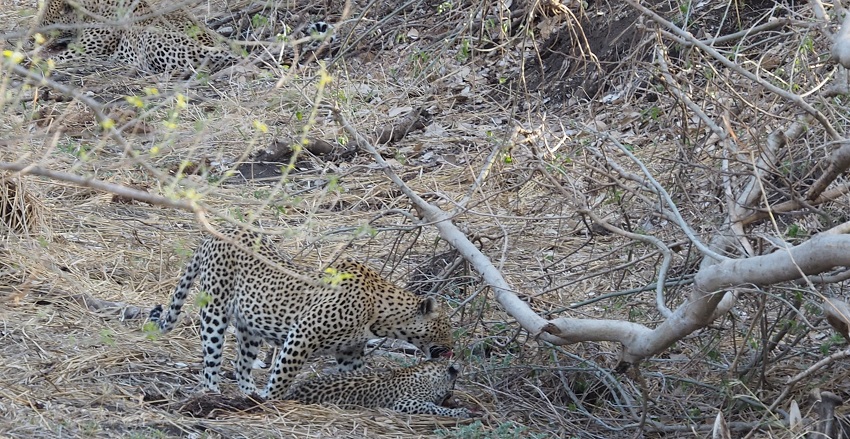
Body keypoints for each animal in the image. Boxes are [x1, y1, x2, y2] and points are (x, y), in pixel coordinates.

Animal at [149, 229, 454, 400]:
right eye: (446, 327)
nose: (453, 348)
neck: (380, 315)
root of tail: (214, 234)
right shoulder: (303, 334)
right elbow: (283, 374)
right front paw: (272, 399)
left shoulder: (350, 351)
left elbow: (352, 376)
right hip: (215, 309)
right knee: (211, 359)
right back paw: (213, 390)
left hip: (249, 326)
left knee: (240, 364)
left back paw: (249, 394)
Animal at [285, 360, 475, 418]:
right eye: (452, 387)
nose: (449, 397)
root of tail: (292, 394)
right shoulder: (404, 402)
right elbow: (433, 407)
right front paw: (460, 412)